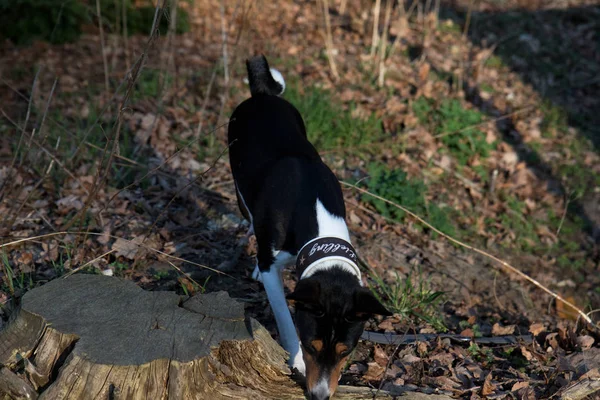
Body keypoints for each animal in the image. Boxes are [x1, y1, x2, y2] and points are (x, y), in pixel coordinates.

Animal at [227, 56, 392, 400]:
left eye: (346, 352)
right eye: (311, 346)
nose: (319, 396)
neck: (315, 215)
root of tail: (263, 94)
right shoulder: (276, 273)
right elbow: (285, 317)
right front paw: (298, 361)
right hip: (240, 186)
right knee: (249, 218)